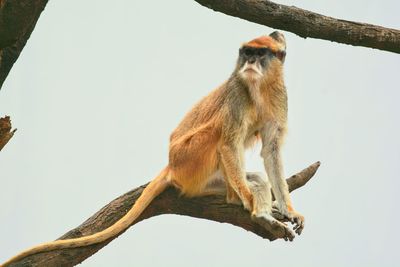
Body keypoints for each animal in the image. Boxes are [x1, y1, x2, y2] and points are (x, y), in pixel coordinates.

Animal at [1, 30, 304, 266]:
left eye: (261, 53)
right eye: (247, 52)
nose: (250, 61)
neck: (259, 87)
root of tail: (170, 164)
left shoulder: (280, 98)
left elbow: (271, 151)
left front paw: (288, 209)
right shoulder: (237, 95)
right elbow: (229, 145)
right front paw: (259, 210)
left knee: (255, 175)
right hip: (189, 158)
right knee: (219, 137)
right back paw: (248, 204)